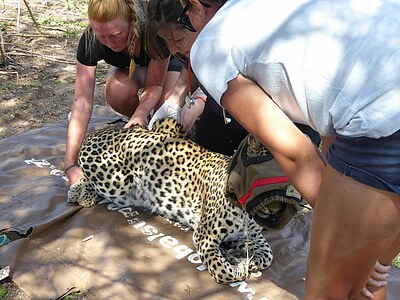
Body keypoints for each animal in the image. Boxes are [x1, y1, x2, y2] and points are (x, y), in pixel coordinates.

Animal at [68, 117, 276, 284]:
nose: (274, 211)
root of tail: (98, 131)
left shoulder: (251, 236)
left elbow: (268, 255)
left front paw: (240, 258)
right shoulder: (204, 236)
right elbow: (224, 272)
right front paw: (237, 265)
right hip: (117, 182)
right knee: (88, 178)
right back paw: (79, 193)